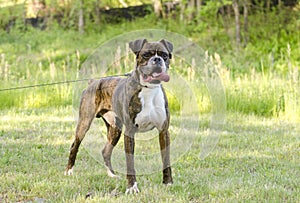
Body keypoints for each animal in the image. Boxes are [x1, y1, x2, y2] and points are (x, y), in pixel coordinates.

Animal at [65, 37, 173, 193]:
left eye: (164, 55)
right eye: (146, 55)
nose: (157, 59)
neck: (149, 89)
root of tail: (93, 82)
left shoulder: (163, 131)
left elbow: (166, 159)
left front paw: (168, 183)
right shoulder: (130, 132)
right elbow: (130, 163)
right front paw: (132, 188)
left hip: (115, 129)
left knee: (105, 151)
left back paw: (112, 175)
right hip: (84, 123)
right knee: (75, 145)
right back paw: (69, 171)